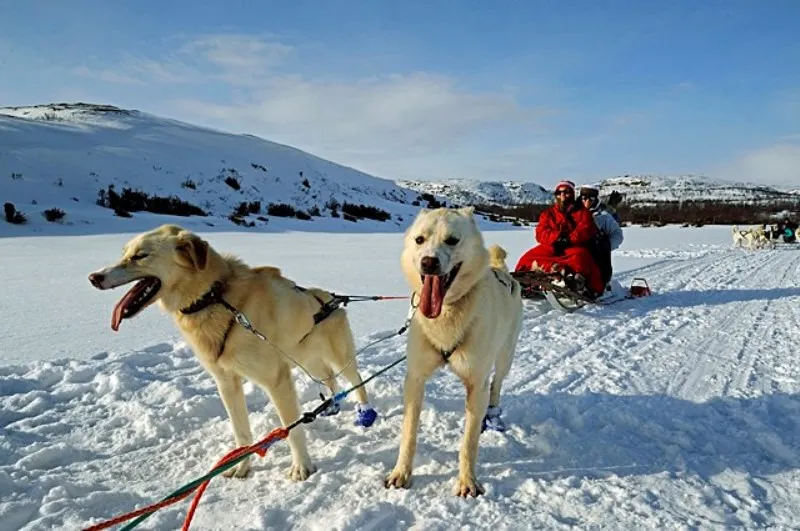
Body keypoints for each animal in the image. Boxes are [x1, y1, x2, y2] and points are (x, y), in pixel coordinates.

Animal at [89, 224, 376, 482]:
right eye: (124, 253)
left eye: (140, 255)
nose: (94, 277)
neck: (216, 298)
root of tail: (331, 297)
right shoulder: (226, 382)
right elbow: (241, 432)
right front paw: (242, 466)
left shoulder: (277, 380)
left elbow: (291, 430)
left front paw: (302, 467)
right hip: (308, 359)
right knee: (329, 378)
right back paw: (331, 405)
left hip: (338, 357)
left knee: (356, 381)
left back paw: (365, 413)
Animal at [386, 208, 524, 498]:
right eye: (419, 239)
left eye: (452, 240)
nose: (428, 262)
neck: (447, 313)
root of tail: (501, 270)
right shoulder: (415, 378)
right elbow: (409, 433)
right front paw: (401, 473)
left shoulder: (475, 382)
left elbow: (469, 442)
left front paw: (467, 481)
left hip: (504, 357)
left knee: (496, 386)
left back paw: (492, 415)